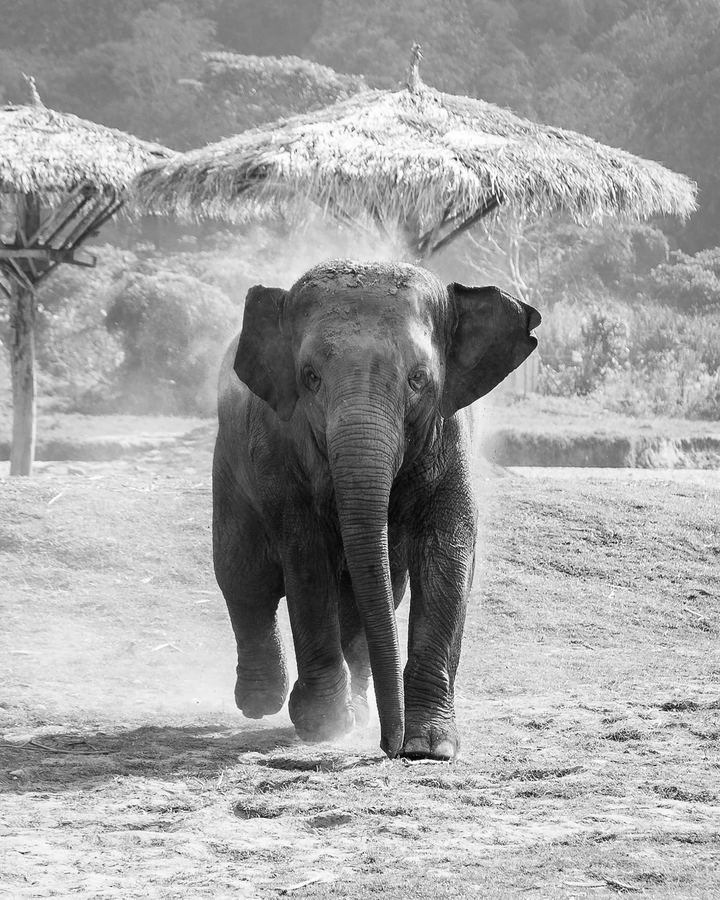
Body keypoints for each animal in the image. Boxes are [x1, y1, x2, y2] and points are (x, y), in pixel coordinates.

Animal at [212, 259, 540, 760]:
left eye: (418, 379)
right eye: (310, 377)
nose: (391, 747)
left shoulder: (452, 439)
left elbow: (446, 557)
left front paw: (430, 747)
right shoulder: (284, 453)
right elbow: (306, 561)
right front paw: (322, 724)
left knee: (373, 595)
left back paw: (358, 709)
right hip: (229, 464)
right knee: (245, 576)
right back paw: (261, 702)